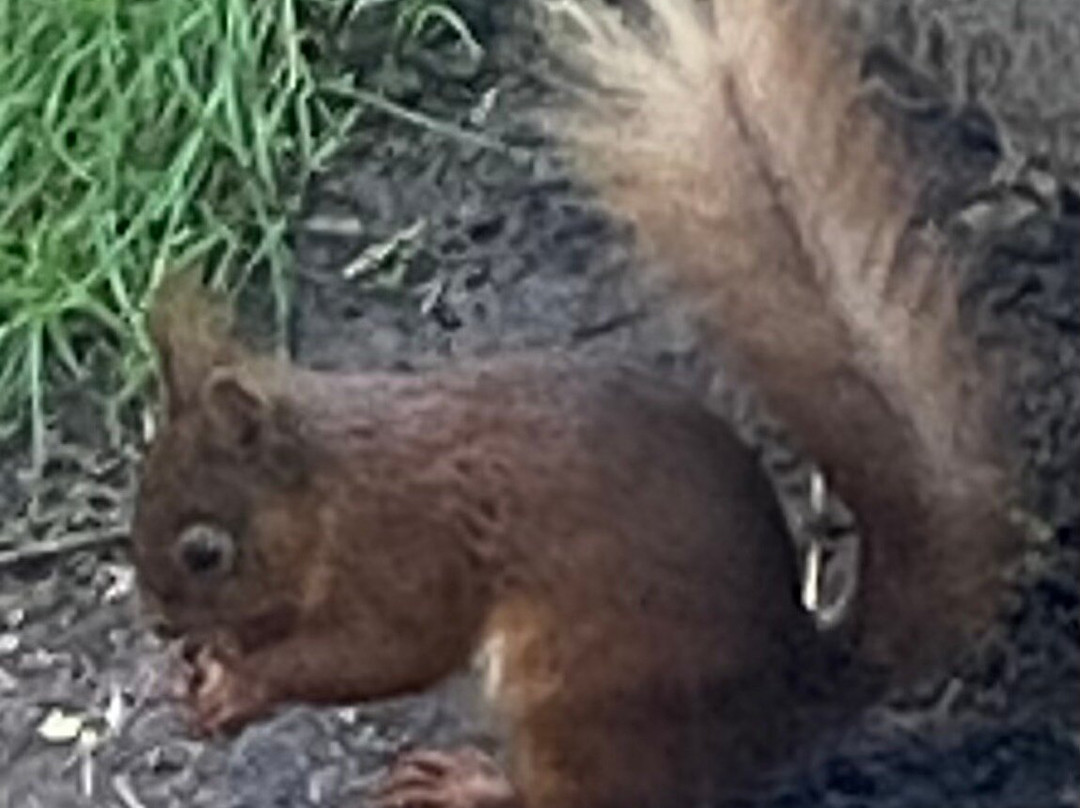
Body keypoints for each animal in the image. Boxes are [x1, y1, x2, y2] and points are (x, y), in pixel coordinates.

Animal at [130, 0, 1021, 806]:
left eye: (204, 551)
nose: (160, 625)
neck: (329, 491)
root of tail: (790, 697)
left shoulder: (410, 546)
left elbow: (384, 649)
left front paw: (245, 683)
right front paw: (211, 665)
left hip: (577, 698)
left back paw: (473, 788)